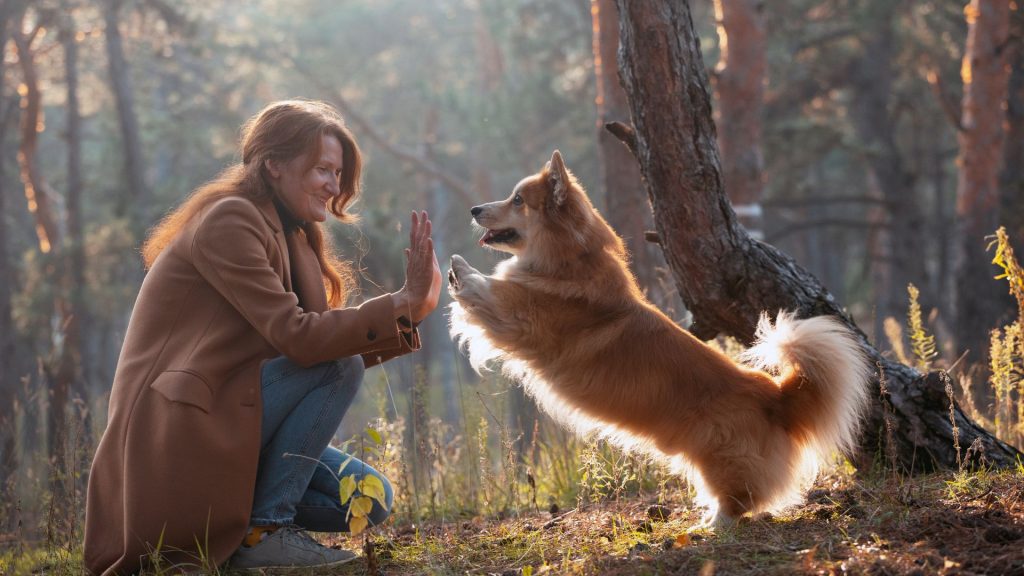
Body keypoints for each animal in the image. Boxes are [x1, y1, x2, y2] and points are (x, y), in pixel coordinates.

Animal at [448, 148, 872, 524]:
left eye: (518, 200)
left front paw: (457, 268)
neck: (570, 259)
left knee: (739, 498)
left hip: (719, 455)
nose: (473, 210)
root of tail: (777, 395)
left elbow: (487, 290)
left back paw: (713, 525)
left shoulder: (517, 316)